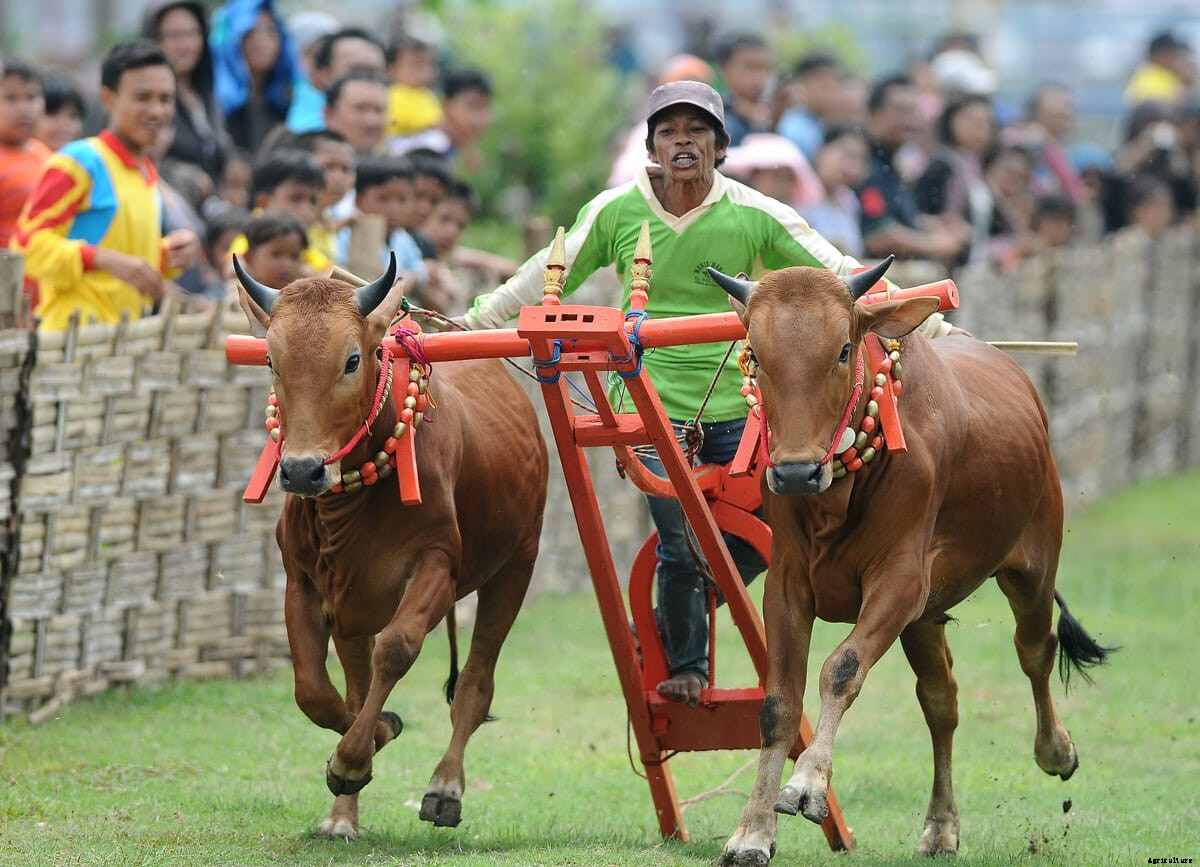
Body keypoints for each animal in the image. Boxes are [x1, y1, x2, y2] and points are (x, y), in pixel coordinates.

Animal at [233, 255, 549, 841]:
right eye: (270, 359)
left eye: (352, 359)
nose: (302, 471)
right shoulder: (307, 583)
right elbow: (315, 691)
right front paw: (369, 743)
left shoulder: (438, 568)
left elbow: (398, 649)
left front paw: (352, 758)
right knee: (359, 687)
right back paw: (343, 814)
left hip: (515, 567)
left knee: (475, 685)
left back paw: (445, 787)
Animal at [707, 259, 1114, 864]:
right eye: (755, 351)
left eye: (844, 349)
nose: (796, 472)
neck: (837, 491)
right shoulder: (787, 585)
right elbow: (778, 704)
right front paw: (752, 831)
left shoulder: (898, 581)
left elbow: (840, 669)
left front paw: (807, 785)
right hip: (925, 617)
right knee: (941, 700)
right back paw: (941, 826)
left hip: (1032, 570)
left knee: (1035, 650)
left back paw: (1056, 750)